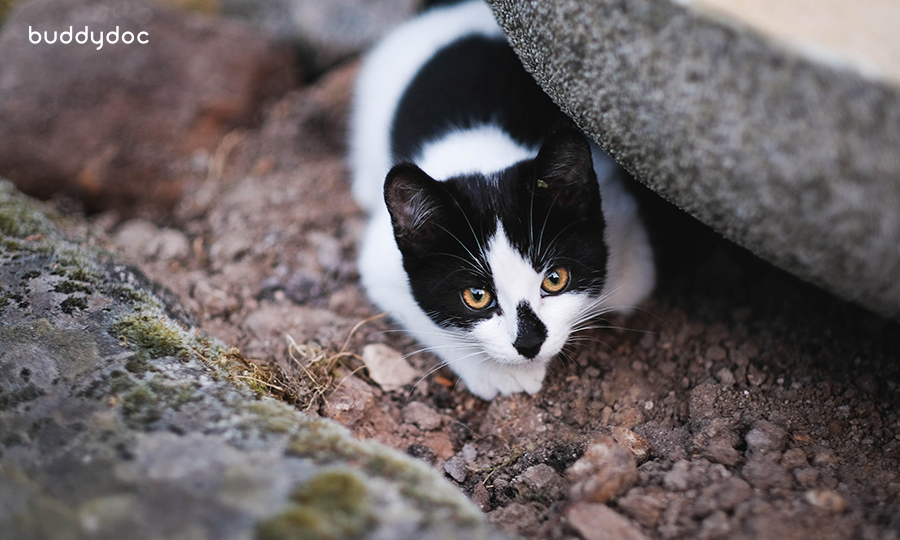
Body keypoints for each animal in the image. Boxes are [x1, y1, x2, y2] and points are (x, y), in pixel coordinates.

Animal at [346, 0, 652, 396]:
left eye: (555, 279)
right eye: (476, 296)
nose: (529, 344)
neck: (484, 155)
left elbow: (629, 285)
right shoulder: (379, 261)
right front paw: (498, 371)